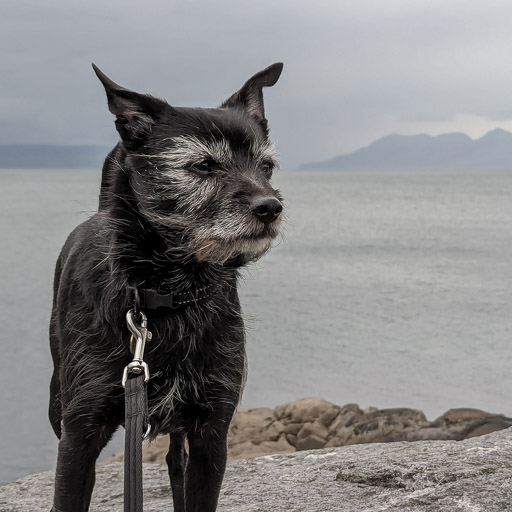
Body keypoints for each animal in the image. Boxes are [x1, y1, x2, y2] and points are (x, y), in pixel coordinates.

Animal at [48, 62, 284, 510]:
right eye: (203, 166)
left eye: (266, 167)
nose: (270, 207)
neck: (166, 294)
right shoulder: (79, 437)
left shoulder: (212, 433)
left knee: (176, 462)